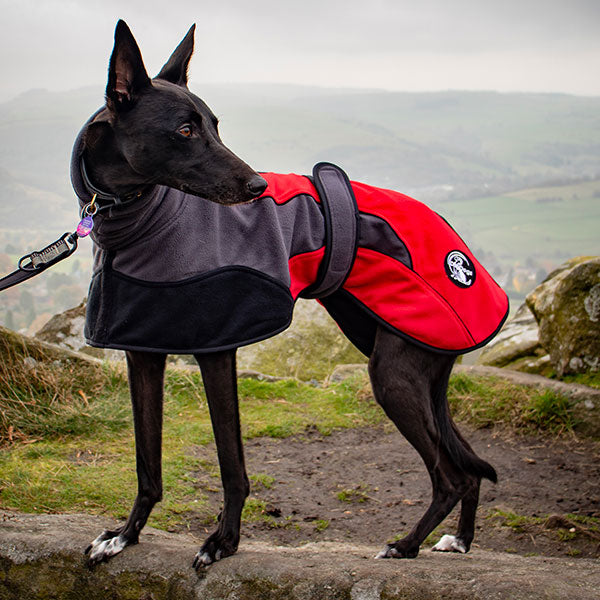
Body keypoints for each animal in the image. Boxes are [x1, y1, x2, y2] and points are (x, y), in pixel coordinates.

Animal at [77, 21, 504, 568]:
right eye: (186, 130)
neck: (136, 220)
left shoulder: (217, 351)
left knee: (450, 477)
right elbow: (146, 464)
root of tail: (463, 254)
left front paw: (223, 542)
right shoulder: (143, 354)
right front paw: (125, 536)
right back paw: (460, 541)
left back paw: (406, 545)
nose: (257, 185)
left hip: (393, 375)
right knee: (469, 469)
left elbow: (231, 464)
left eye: (216, 125)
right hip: (419, 368)